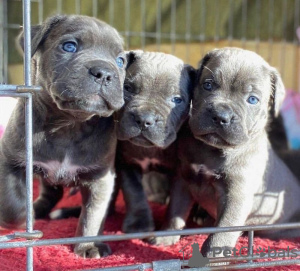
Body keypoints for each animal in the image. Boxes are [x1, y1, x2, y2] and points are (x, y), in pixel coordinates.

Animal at [0, 14, 126, 260]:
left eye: (120, 61)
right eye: (69, 46)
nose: (104, 73)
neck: (68, 125)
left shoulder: (101, 178)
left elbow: (93, 215)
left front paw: (88, 245)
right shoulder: (9, 160)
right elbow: (11, 198)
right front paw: (20, 219)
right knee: (50, 193)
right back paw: (37, 211)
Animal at [114, 50, 195, 234]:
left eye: (177, 100)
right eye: (127, 88)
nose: (144, 119)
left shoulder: (180, 172)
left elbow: (177, 201)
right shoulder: (127, 164)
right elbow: (134, 192)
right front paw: (139, 224)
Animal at [156, 47, 300, 258]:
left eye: (252, 99)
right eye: (208, 85)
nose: (220, 116)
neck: (212, 150)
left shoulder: (237, 196)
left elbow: (223, 232)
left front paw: (211, 258)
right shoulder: (183, 178)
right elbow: (175, 210)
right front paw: (165, 237)